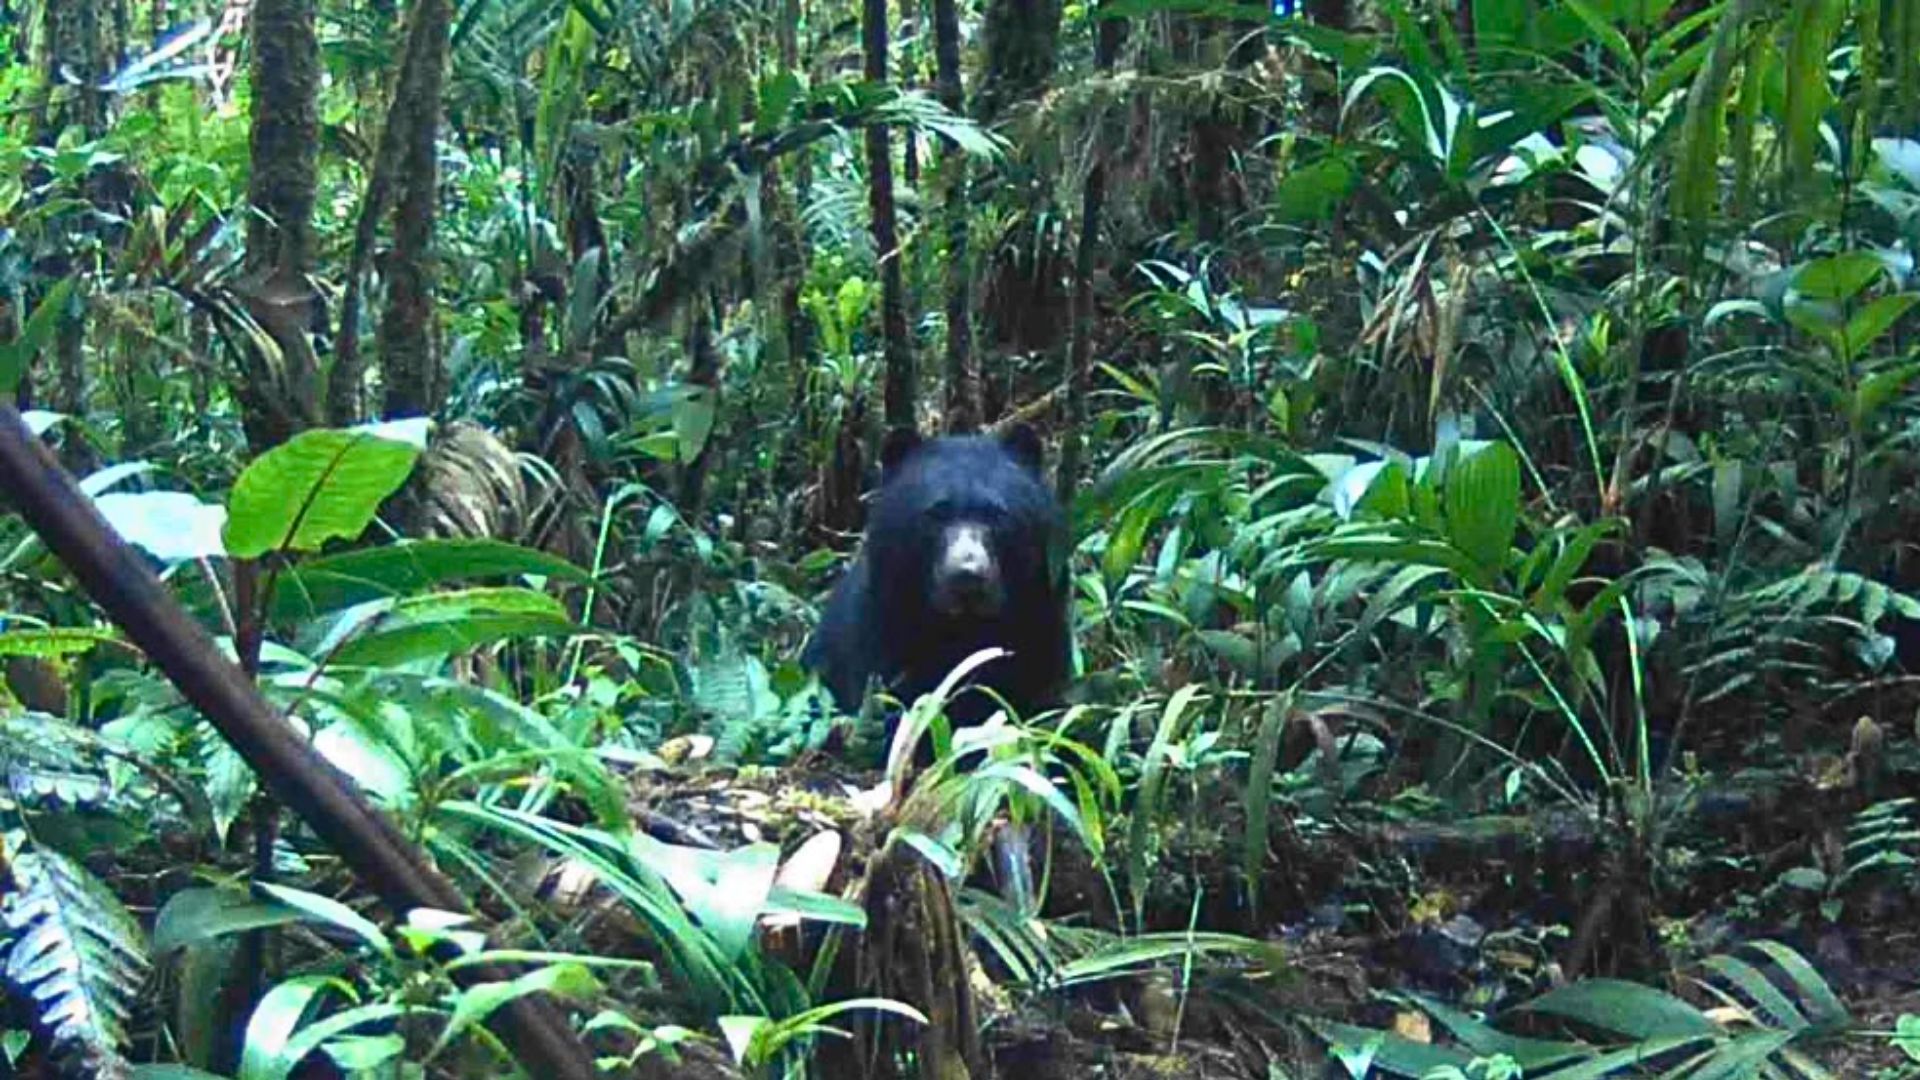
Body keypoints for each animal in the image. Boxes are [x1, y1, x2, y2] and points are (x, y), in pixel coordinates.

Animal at [804, 423, 1073, 745]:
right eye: (936, 513)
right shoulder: (882, 628)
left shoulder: (1041, 622)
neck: (963, 630)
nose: (967, 576)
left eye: (997, 514)